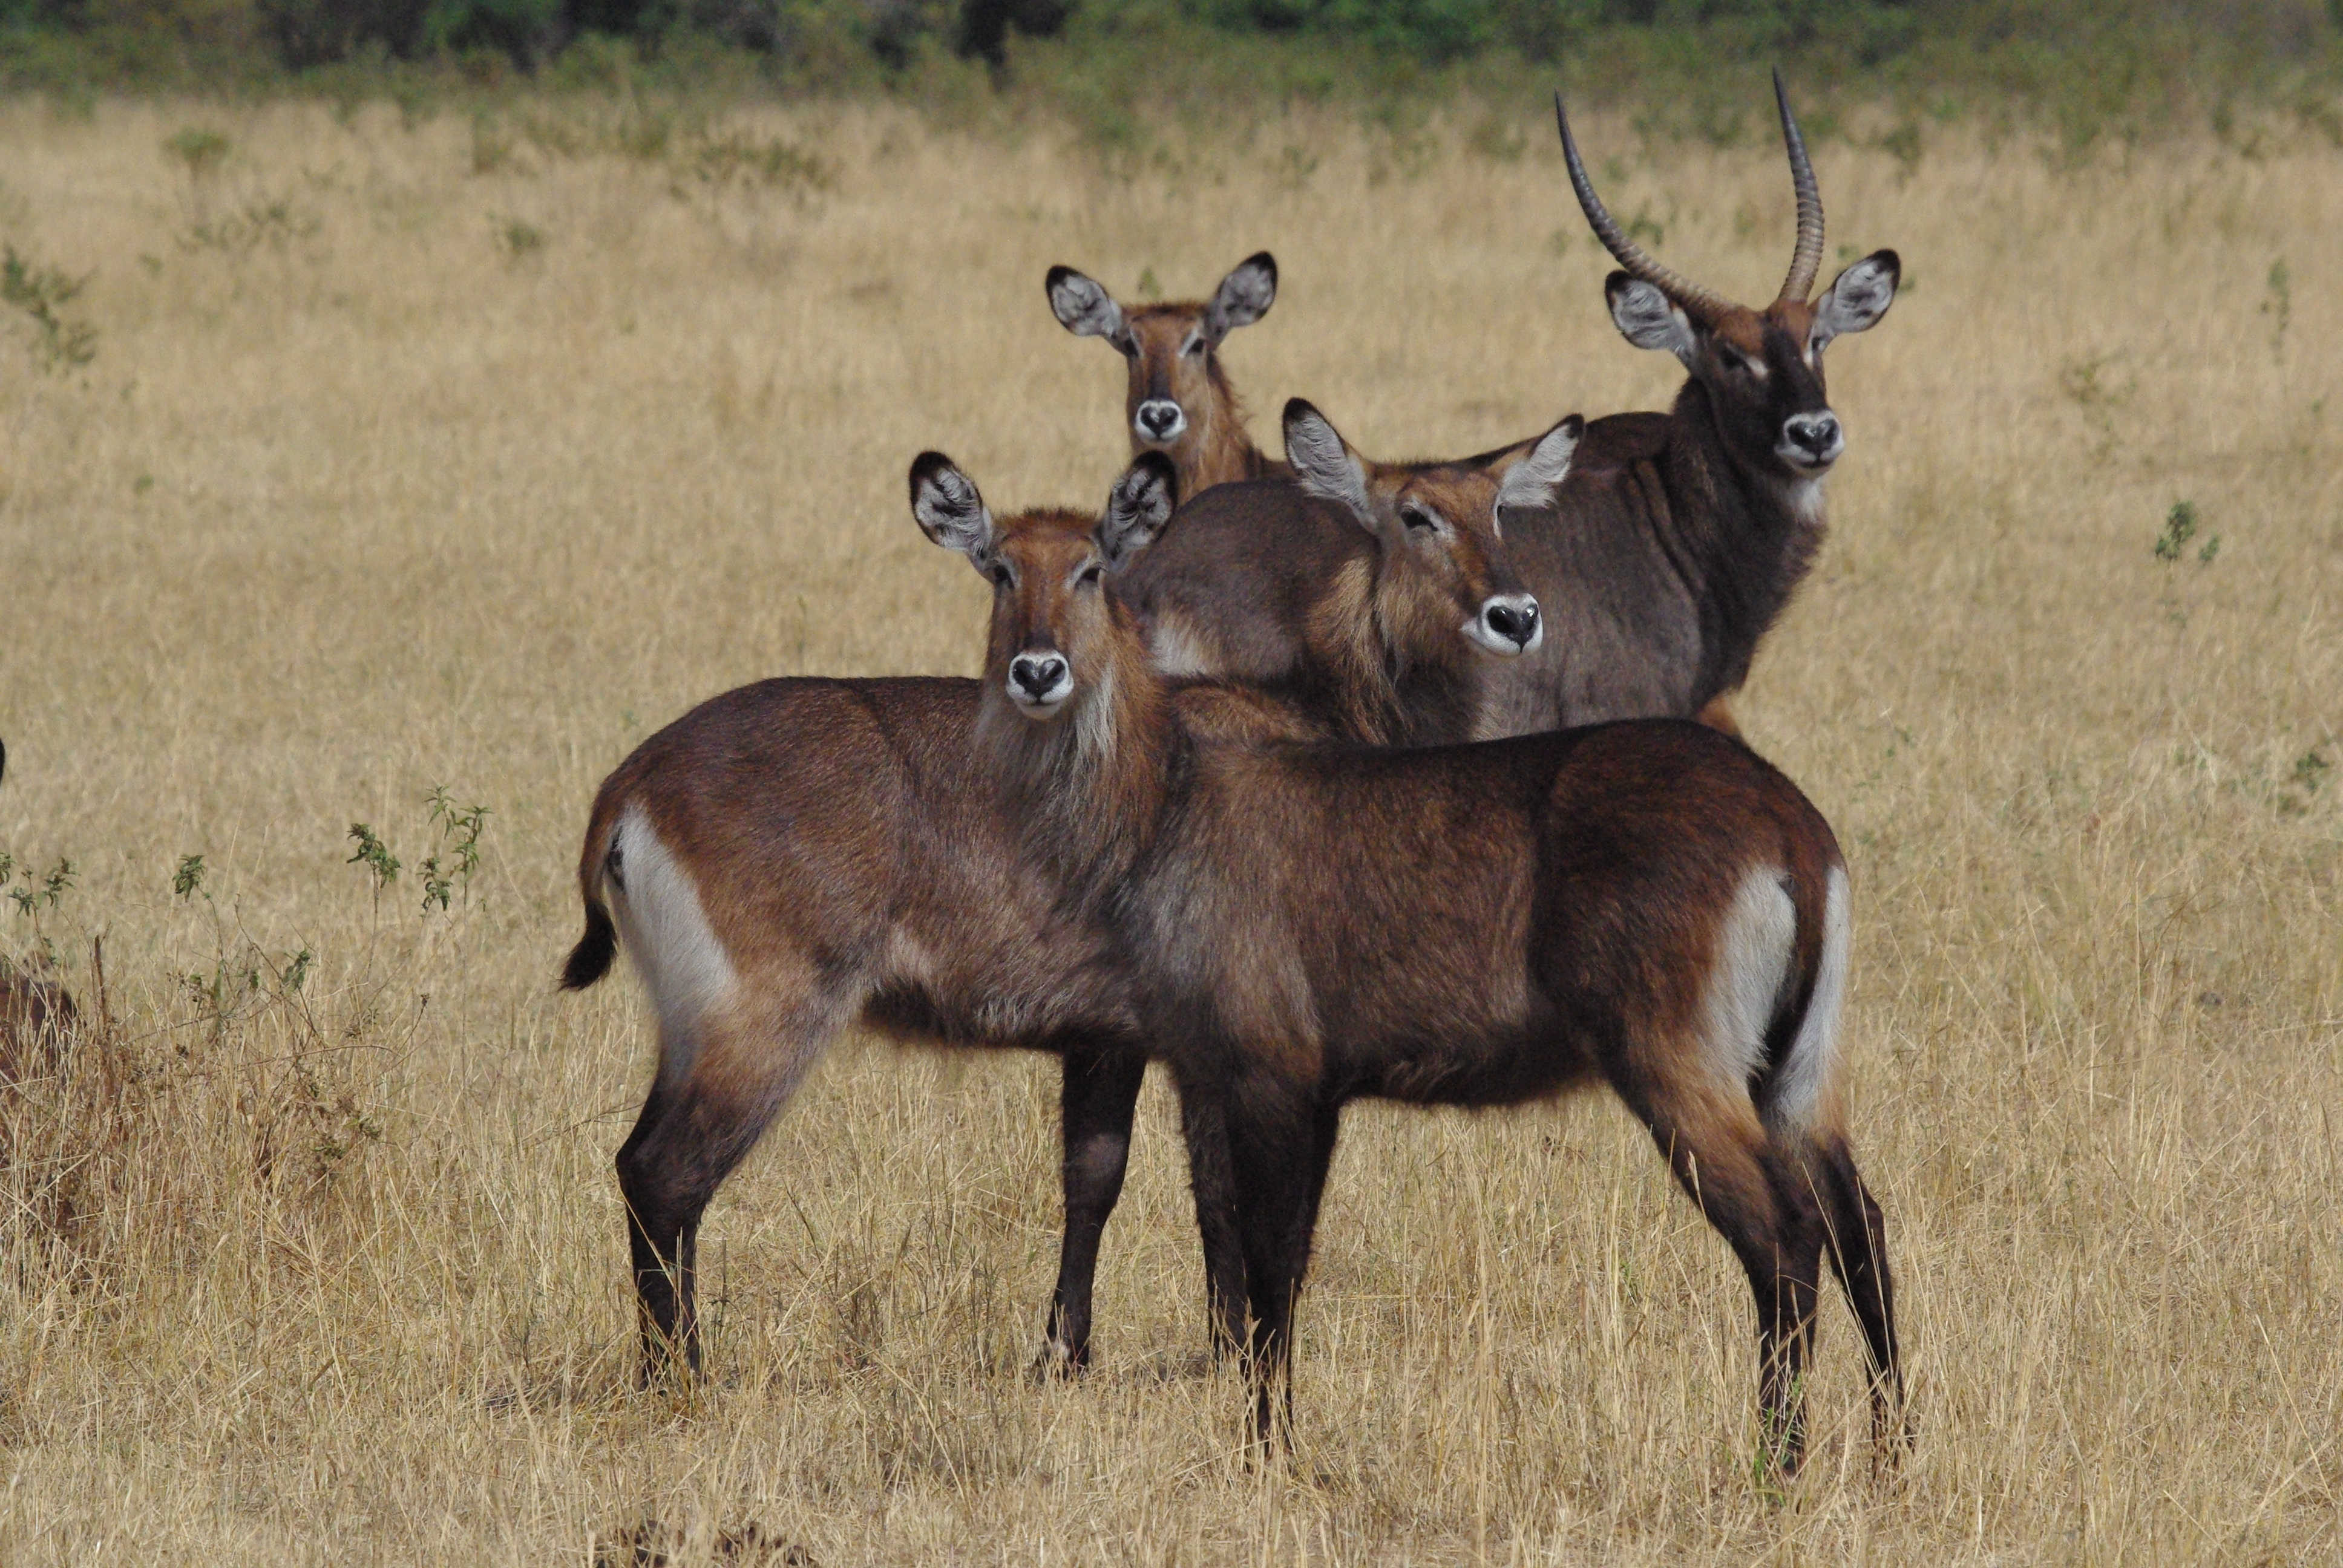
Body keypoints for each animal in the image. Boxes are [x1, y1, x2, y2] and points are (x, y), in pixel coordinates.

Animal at [560, 438, 1556, 1368]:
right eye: (1412, 516)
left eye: (1499, 510)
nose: (1514, 616)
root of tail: (635, 776)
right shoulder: (1214, 1037)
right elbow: (1218, 1193)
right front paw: (1230, 1347)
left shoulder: (1105, 1039)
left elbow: (1094, 1179)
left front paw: (1065, 1352)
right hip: (762, 1021)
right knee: (667, 1177)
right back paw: (684, 1373)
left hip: (689, 1023)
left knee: (639, 1167)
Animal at [914, 449, 1902, 1472]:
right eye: (1000, 570)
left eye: (1090, 571)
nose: (1037, 671)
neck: (1166, 796)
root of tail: (1787, 823)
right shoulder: (1299, 1086)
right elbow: (1278, 1258)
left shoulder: (1266, 1070)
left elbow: (1262, 1259)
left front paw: (1267, 1451)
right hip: (1799, 1069)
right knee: (1858, 1222)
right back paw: (1890, 1448)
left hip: (1676, 1063)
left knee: (1784, 1235)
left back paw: (1777, 1462)